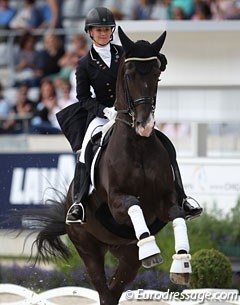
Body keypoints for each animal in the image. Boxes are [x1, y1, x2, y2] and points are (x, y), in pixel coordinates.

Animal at [23, 27, 191, 304]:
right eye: (129, 74)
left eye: (157, 74)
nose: (145, 125)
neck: (138, 146)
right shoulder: (116, 202)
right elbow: (133, 204)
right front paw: (152, 250)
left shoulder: (164, 202)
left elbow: (178, 214)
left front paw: (182, 264)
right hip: (88, 248)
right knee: (103, 289)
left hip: (127, 254)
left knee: (113, 291)